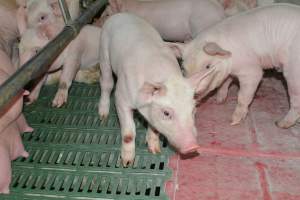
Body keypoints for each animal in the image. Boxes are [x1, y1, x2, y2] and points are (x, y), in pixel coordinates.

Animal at [99, 12, 217, 166]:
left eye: (193, 110)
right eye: (166, 113)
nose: (193, 146)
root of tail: (120, 14)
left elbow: (154, 128)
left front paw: (155, 151)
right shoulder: (121, 99)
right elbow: (128, 133)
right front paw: (126, 163)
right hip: (104, 51)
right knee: (106, 83)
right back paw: (102, 115)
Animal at [170, 3, 300, 129]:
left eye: (208, 66)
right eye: (183, 69)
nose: (192, 91)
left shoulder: (251, 70)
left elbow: (243, 94)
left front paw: (233, 122)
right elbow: (225, 82)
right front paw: (219, 101)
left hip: (294, 72)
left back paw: (280, 124)